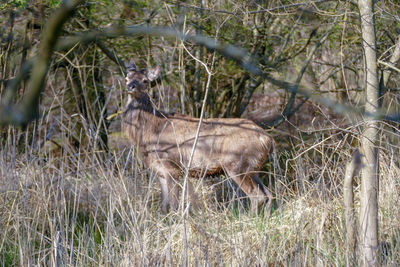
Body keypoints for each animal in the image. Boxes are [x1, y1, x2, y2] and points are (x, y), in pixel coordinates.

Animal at [122, 60, 276, 214]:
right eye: (127, 78)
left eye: (145, 80)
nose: (130, 86)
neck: (150, 131)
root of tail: (268, 140)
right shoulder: (159, 170)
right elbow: (164, 206)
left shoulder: (172, 166)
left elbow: (174, 204)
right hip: (253, 169)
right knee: (269, 194)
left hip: (237, 165)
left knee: (257, 195)